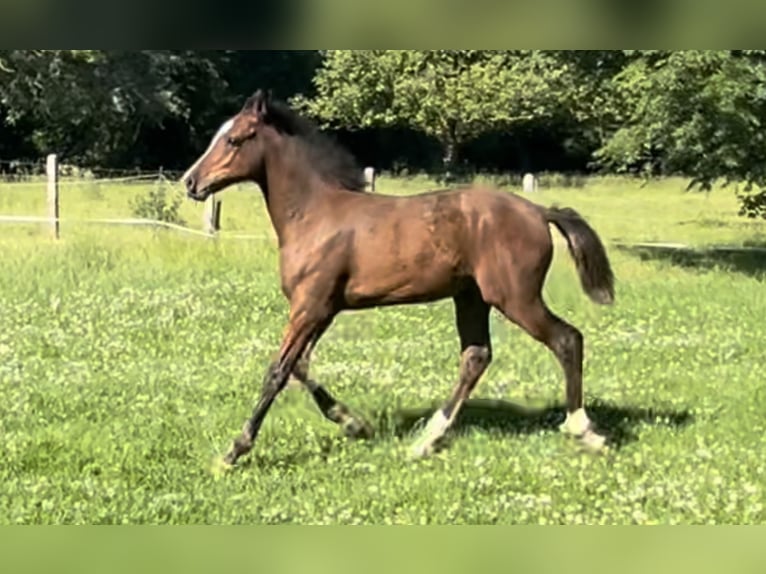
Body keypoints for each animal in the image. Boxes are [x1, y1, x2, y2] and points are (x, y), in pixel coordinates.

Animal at [182, 89, 616, 468]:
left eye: (234, 139)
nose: (190, 182)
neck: (314, 215)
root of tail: (539, 212)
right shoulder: (320, 309)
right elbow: (300, 367)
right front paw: (354, 423)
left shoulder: (310, 306)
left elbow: (277, 371)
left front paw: (233, 452)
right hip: (471, 297)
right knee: (476, 357)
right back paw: (426, 440)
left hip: (515, 297)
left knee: (566, 339)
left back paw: (583, 430)